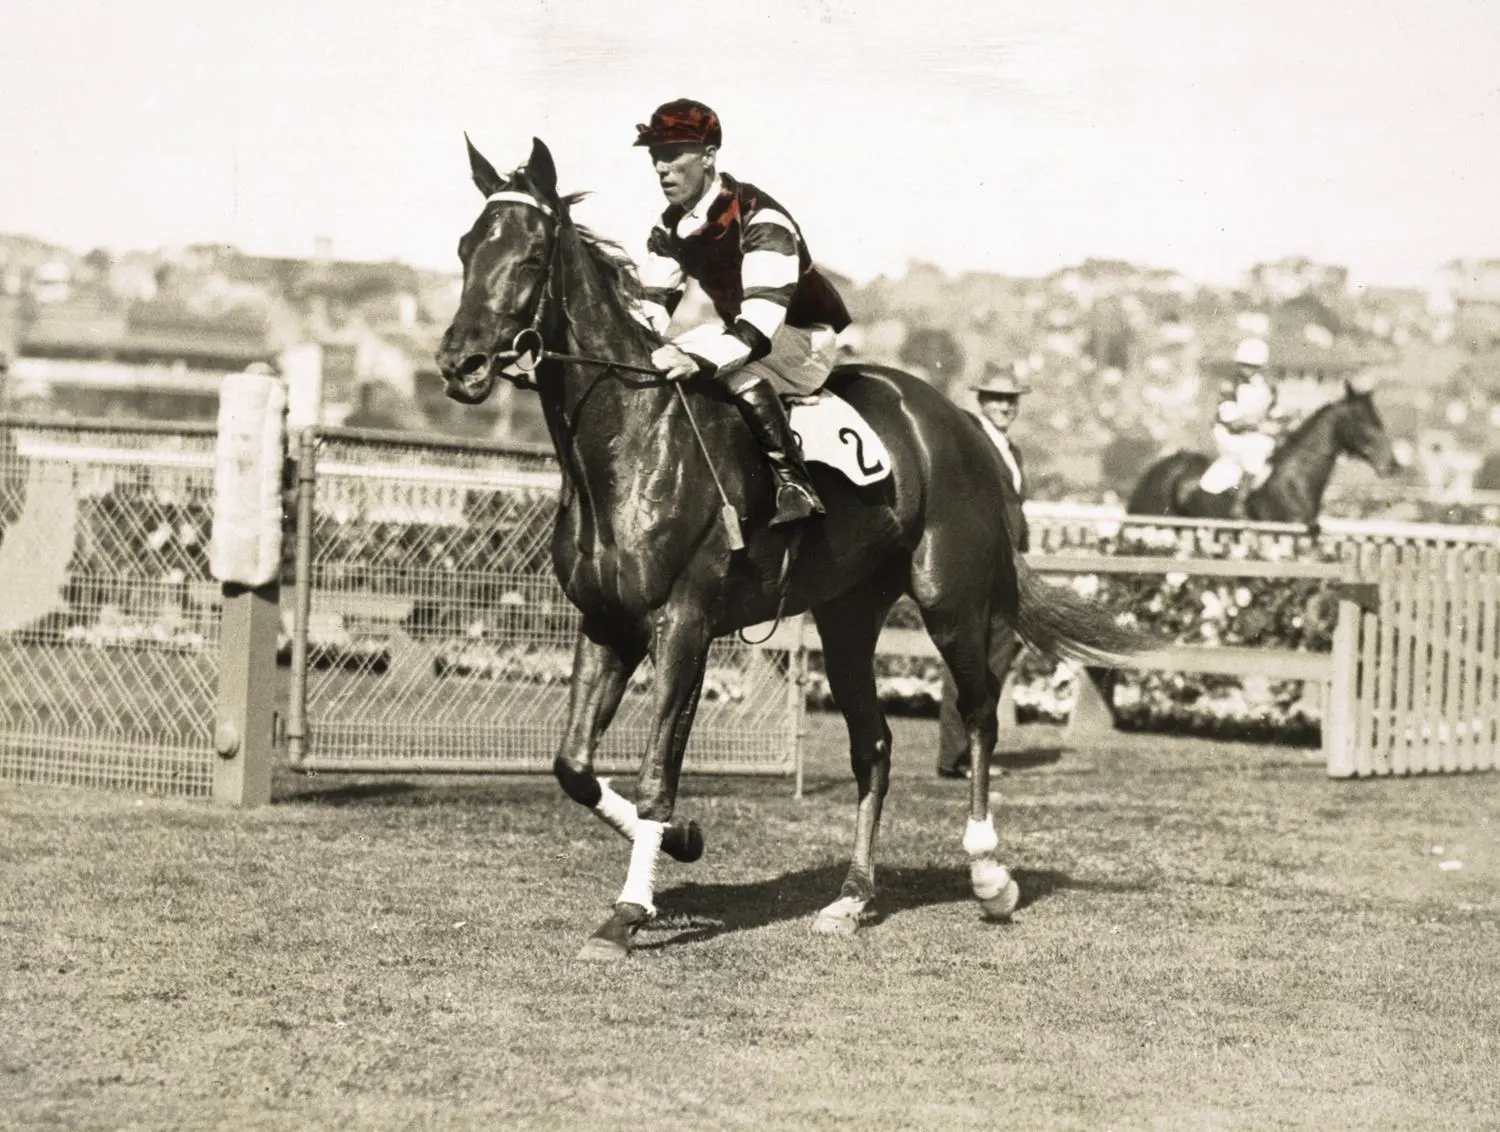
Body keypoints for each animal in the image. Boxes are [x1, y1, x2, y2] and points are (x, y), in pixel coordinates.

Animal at [435, 137, 1146, 959]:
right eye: (466, 250)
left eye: (529, 256)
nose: (459, 365)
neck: (628, 442)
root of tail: (961, 426)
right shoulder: (606, 623)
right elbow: (574, 766)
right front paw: (683, 840)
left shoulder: (682, 626)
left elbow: (655, 775)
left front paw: (628, 911)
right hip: (847, 618)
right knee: (873, 746)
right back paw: (852, 896)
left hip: (953, 601)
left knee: (980, 717)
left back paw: (989, 874)